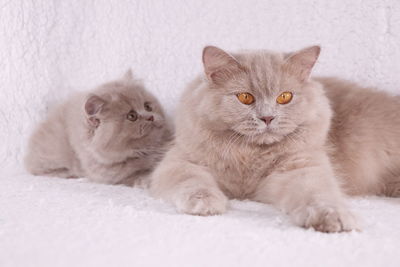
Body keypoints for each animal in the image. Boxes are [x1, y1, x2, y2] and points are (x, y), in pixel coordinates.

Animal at [24, 70, 172, 187]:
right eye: (132, 116)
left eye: (147, 106)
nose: (150, 117)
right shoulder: (111, 175)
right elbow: (137, 175)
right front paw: (146, 180)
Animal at [148, 45, 398, 233]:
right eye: (245, 97)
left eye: (284, 97)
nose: (267, 117)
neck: (249, 154)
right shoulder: (180, 162)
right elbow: (194, 182)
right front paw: (206, 204)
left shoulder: (300, 168)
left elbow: (318, 194)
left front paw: (333, 218)